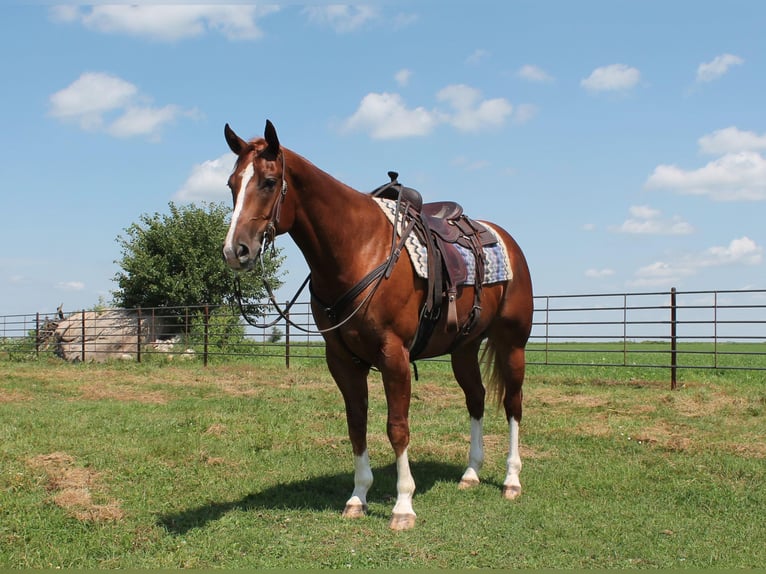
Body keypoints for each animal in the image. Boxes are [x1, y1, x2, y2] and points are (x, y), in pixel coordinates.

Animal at [222, 119, 536, 532]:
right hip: (464, 349)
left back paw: (512, 480)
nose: (235, 250)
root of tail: (507, 240)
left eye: (270, 182)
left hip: (512, 343)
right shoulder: (341, 360)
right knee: (477, 398)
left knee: (513, 404)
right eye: (232, 183)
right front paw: (358, 497)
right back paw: (470, 473)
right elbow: (356, 424)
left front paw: (403, 505)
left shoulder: (394, 355)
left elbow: (397, 427)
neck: (357, 248)